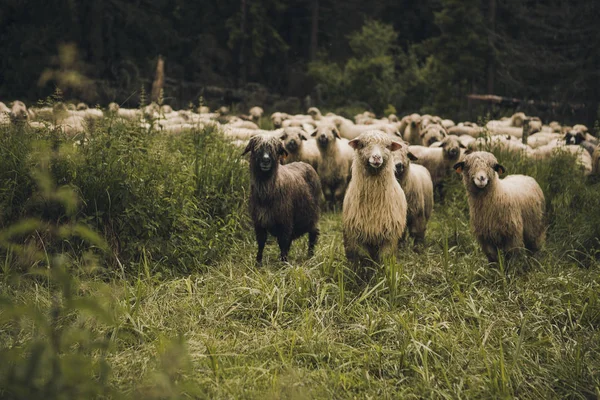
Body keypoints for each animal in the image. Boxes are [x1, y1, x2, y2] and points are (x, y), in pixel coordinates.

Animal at [243, 135, 324, 266]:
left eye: (276, 150)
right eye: (256, 149)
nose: (266, 160)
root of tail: (305, 163)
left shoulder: (285, 221)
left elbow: (283, 243)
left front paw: (284, 264)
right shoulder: (259, 221)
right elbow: (261, 243)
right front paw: (258, 263)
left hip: (313, 213)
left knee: (313, 233)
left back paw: (310, 255)